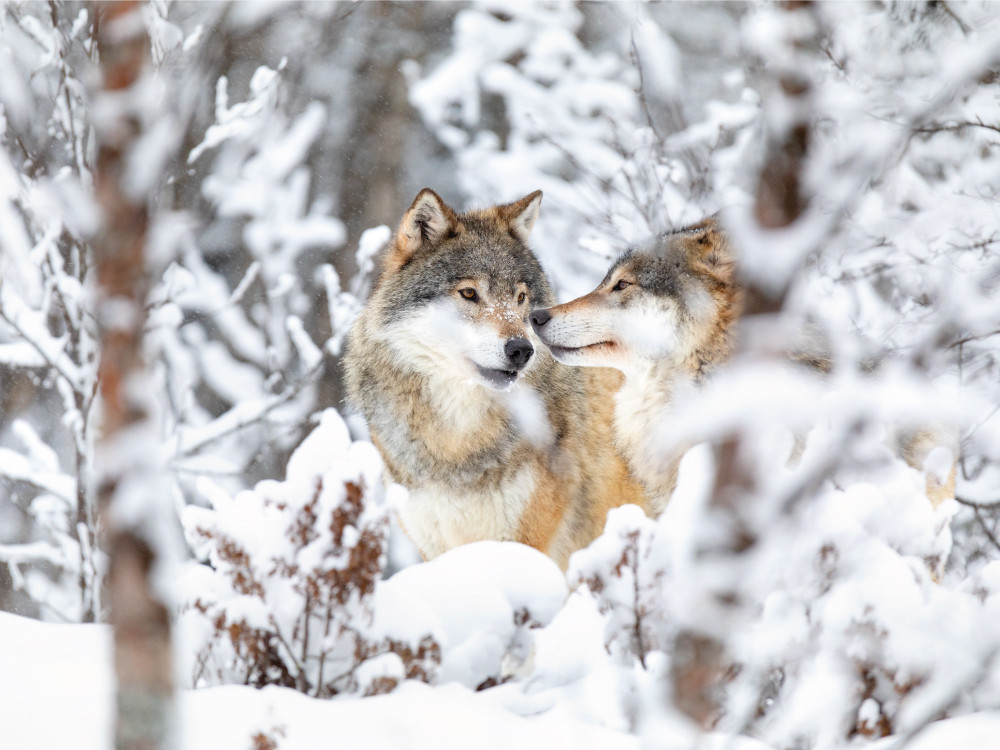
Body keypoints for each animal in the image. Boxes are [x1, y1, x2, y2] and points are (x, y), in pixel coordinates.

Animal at [342, 188, 648, 568]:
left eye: (520, 297)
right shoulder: (436, 550)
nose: (522, 349)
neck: (456, 444)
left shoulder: (524, 546)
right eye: (469, 293)